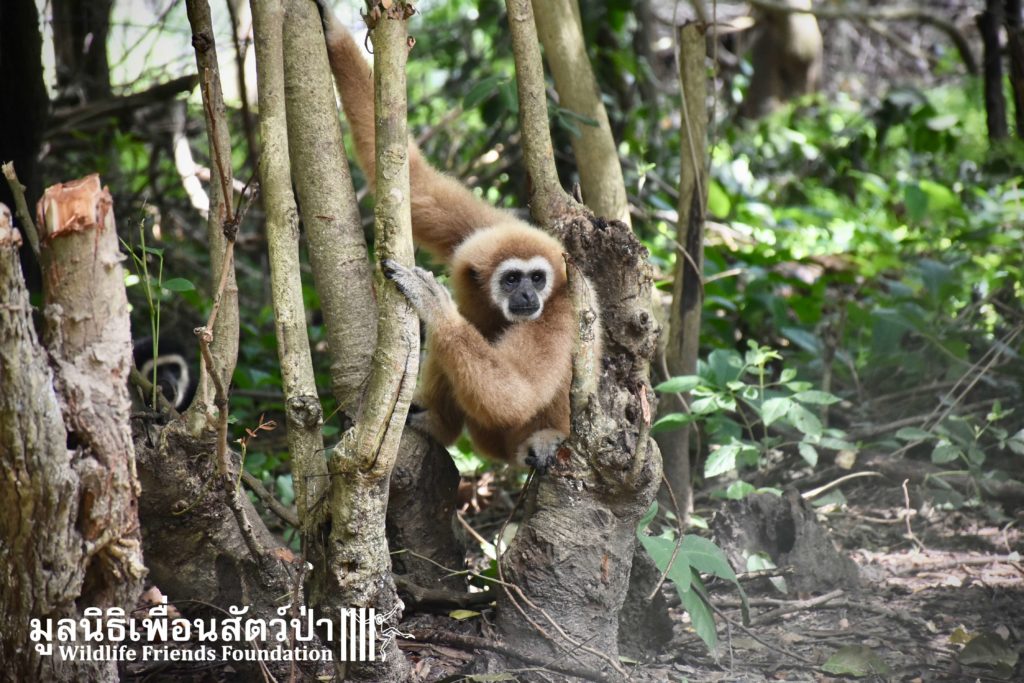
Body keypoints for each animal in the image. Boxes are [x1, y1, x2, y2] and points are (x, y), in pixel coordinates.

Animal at [316, 2, 599, 469]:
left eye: (538, 278)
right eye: (512, 279)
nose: (528, 296)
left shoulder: (561, 309)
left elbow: (515, 393)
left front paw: (435, 304)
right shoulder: (479, 228)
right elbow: (417, 186)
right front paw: (333, 30)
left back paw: (546, 438)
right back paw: (436, 423)